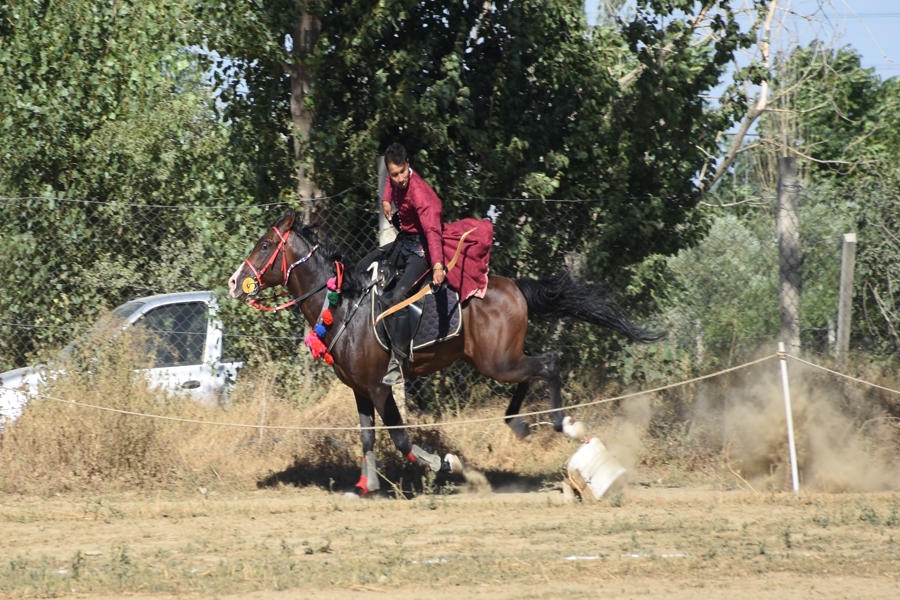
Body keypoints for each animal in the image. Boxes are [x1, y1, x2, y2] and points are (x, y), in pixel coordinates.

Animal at [229, 210, 656, 492]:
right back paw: (519, 423)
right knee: (536, 368)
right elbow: (367, 438)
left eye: (265, 245)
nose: (235, 282)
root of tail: (515, 287)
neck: (343, 305)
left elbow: (401, 439)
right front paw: (367, 486)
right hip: (498, 357)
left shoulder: (380, 387)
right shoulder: (361, 391)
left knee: (549, 363)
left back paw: (566, 424)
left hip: (497, 361)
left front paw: (445, 464)